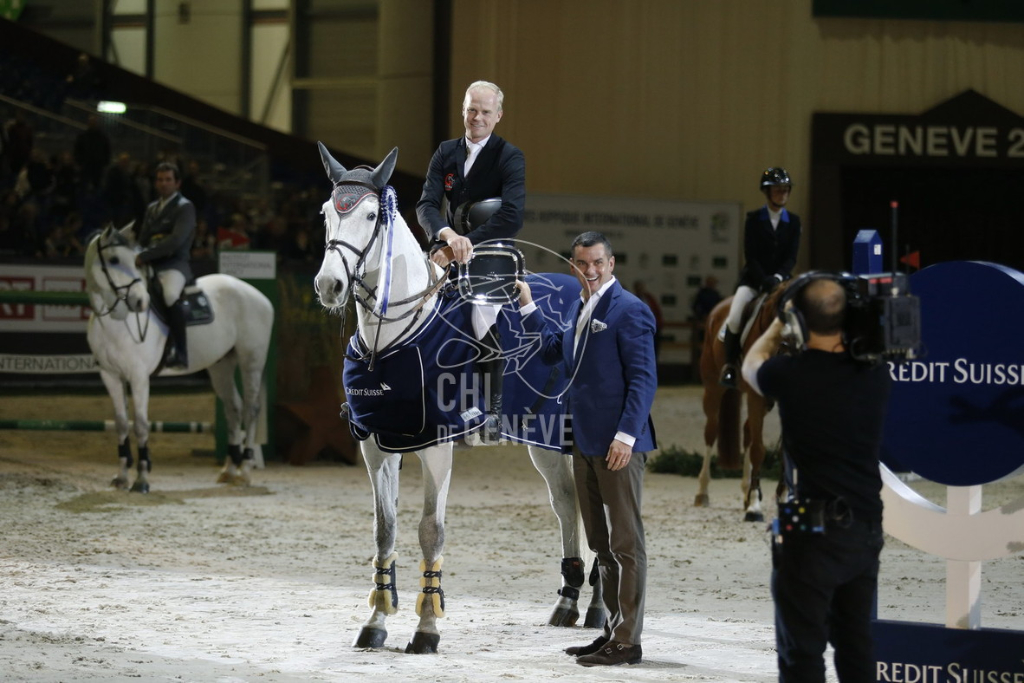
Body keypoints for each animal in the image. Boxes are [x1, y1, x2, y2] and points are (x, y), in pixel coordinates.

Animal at [84, 227, 274, 493]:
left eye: (134, 260)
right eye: (113, 260)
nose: (140, 302)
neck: (118, 321)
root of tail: (259, 296)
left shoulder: (138, 377)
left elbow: (140, 425)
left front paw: (142, 479)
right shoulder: (110, 376)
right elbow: (121, 424)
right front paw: (121, 477)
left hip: (251, 361)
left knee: (251, 408)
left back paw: (245, 471)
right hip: (221, 365)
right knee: (233, 408)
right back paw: (229, 469)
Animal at [311, 145, 598, 655]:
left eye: (370, 215)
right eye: (327, 213)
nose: (330, 286)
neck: (392, 340)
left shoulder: (437, 447)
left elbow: (431, 531)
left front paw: (427, 627)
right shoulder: (374, 446)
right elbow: (384, 530)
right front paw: (376, 621)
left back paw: (601, 609)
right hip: (543, 442)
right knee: (567, 504)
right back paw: (566, 603)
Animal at [696, 282, 782, 524]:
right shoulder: (756, 396)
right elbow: (759, 450)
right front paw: (755, 507)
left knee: (747, 433)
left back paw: (746, 491)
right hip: (713, 389)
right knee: (711, 432)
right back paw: (703, 492)